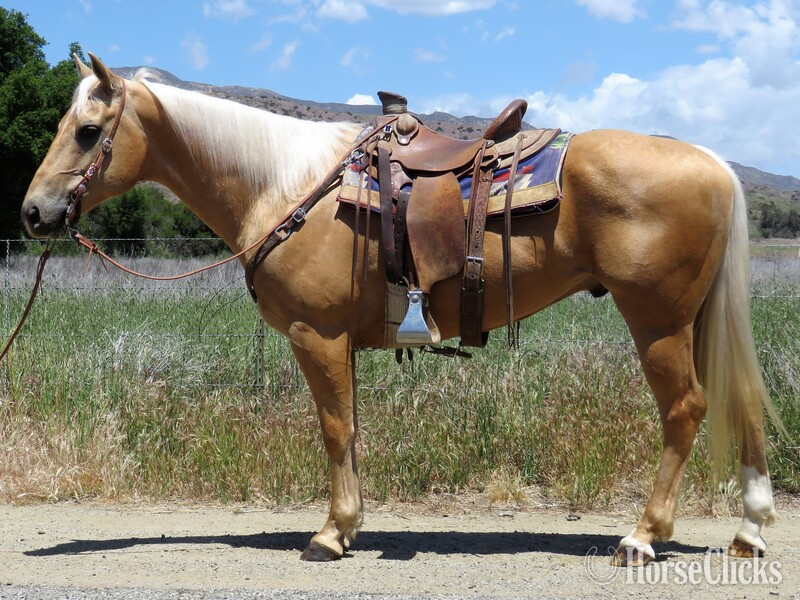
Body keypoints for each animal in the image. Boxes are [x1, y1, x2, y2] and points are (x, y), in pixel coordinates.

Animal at [21, 53, 780, 565]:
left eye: (87, 131)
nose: (33, 212)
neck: (284, 185)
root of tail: (713, 163)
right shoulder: (340, 344)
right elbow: (352, 430)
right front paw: (350, 524)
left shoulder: (317, 335)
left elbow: (334, 430)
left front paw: (331, 534)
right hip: (695, 319)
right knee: (739, 400)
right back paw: (747, 530)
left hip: (656, 321)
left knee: (685, 409)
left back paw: (644, 536)